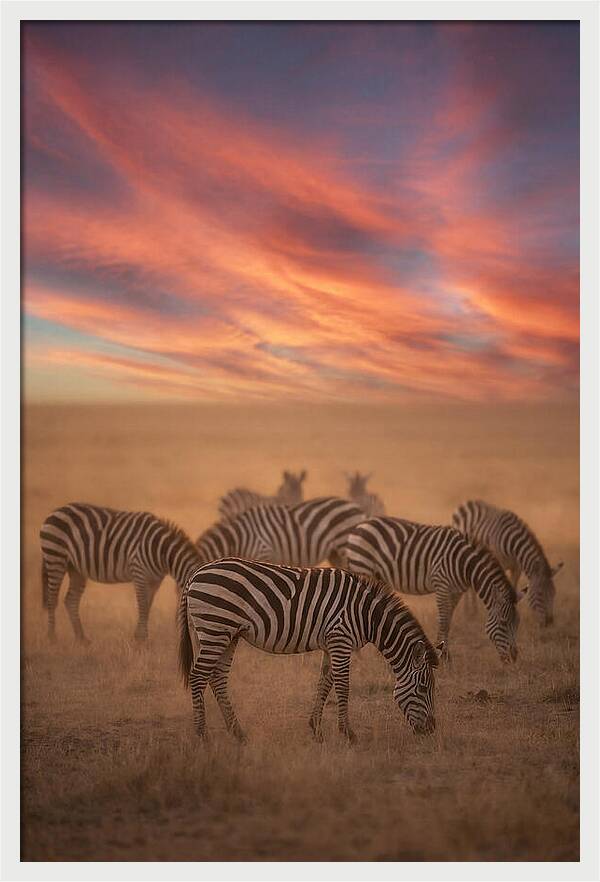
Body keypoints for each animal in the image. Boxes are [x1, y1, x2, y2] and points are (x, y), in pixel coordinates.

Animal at [40, 502, 202, 643]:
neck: (161, 551)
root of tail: (57, 510)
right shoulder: (139, 572)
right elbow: (143, 605)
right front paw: (141, 640)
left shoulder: (155, 580)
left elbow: (148, 606)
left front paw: (140, 638)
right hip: (55, 557)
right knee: (52, 598)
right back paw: (52, 638)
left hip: (76, 568)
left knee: (71, 600)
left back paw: (81, 639)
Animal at [178, 557, 441, 742]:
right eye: (423, 688)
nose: (431, 730)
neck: (367, 615)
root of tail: (196, 574)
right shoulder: (341, 639)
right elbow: (343, 685)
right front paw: (348, 733)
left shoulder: (331, 643)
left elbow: (325, 682)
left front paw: (316, 729)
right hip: (215, 628)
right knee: (198, 676)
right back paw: (202, 735)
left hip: (227, 634)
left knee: (217, 678)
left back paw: (238, 733)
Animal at [343, 517, 522, 664]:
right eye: (503, 623)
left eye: (517, 623)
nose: (513, 658)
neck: (465, 564)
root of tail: (359, 526)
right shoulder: (441, 584)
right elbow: (442, 620)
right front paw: (444, 656)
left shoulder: (456, 592)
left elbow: (448, 621)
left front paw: (446, 655)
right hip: (363, 565)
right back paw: (360, 655)